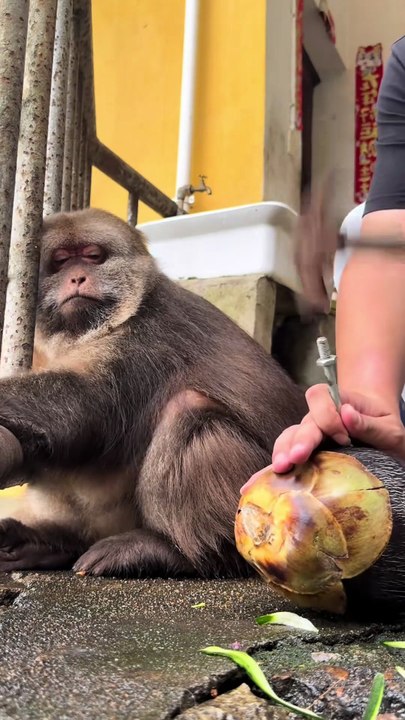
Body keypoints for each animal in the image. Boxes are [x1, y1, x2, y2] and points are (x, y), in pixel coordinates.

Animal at [0, 208, 307, 578]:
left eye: (93, 257)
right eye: (60, 262)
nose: (77, 278)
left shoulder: (146, 336)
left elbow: (82, 408)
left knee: (189, 412)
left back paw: (179, 553)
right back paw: (52, 544)